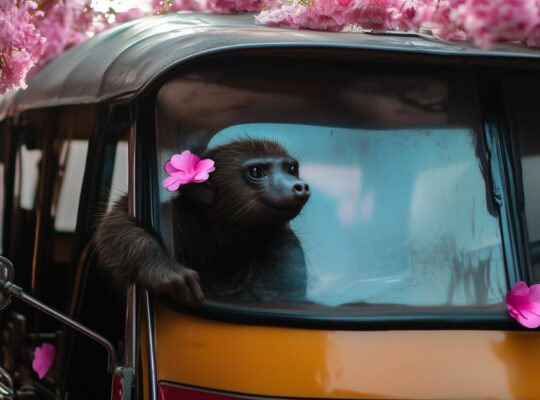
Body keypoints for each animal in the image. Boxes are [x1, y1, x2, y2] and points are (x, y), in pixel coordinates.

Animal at [95, 139, 310, 308]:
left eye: (291, 169)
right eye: (256, 172)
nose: (299, 186)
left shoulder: (287, 246)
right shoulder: (180, 218)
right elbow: (118, 219)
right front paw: (161, 267)